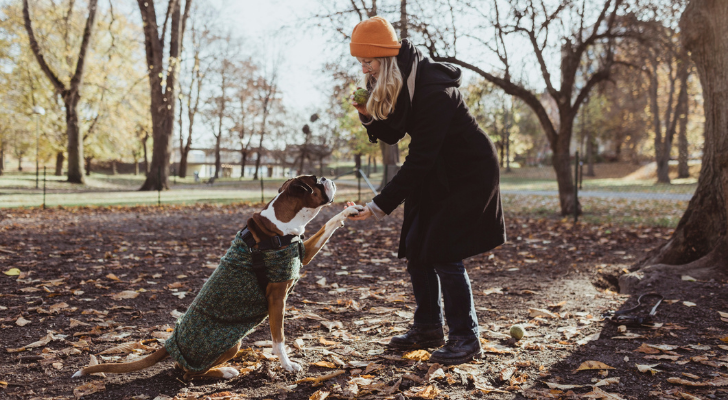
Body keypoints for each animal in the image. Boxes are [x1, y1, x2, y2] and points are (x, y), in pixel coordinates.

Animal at [71, 177, 362, 380]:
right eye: (317, 182)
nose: (329, 178)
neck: (278, 227)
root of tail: (172, 342)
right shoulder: (277, 298)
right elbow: (278, 339)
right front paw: (288, 365)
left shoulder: (302, 254)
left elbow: (327, 225)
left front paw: (350, 211)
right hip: (229, 344)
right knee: (187, 373)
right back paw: (225, 372)